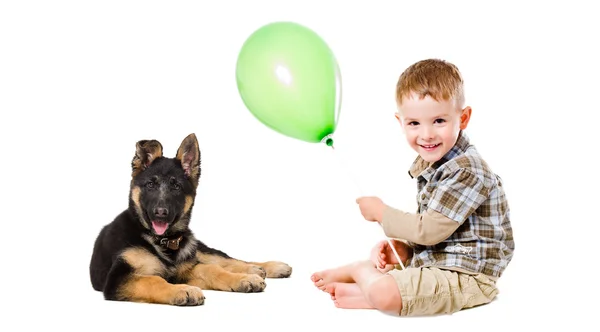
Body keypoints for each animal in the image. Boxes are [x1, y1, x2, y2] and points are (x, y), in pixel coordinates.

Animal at [89, 133, 292, 306]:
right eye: (150, 184)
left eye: (176, 187)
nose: (160, 212)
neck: (163, 241)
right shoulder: (117, 279)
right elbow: (155, 280)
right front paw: (182, 291)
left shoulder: (187, 268)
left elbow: (212, 270)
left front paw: (242, 279)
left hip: (197, 249)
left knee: (227, 260)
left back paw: (263, 269)